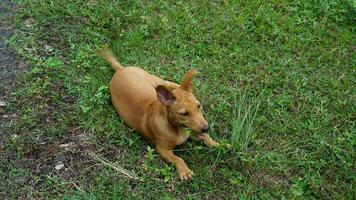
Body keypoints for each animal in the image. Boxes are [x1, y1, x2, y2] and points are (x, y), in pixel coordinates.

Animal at [96, 48, 221, 180]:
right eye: (184, 113)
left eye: (198, 106)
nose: (206, 128)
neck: (176, 128)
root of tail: (120, 69)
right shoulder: (162, 150)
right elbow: (177, 158)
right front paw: (184, 171)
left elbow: (206, 138)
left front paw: (221, 145)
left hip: (156, 80)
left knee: (173, 85)